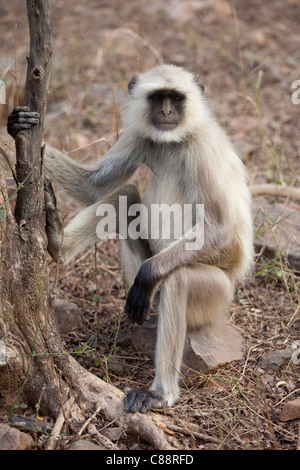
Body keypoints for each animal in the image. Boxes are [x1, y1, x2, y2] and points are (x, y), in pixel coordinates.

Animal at [7, 65, 253, 412]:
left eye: (177, 98)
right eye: (158, 98)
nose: (167, 112)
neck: (175, 140)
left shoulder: (201, 147)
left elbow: (220, 228)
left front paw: (147, 275)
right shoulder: (142, 135)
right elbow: (94, 187)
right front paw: (16, 123)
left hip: (216, 298)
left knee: (178, 279)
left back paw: (161, 392)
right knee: (124, 196)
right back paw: (56, 241)